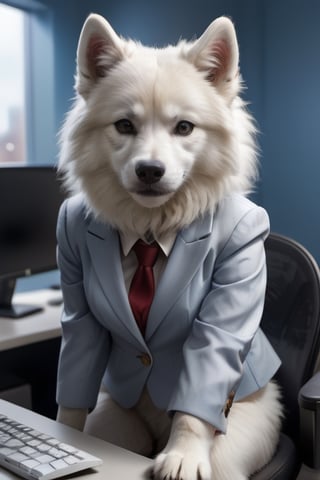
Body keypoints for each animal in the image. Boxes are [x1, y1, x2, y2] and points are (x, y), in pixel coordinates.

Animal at [57, 13, 282, 478]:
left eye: (184, 127)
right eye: (125, 125)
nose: (149, 170)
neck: (149, 229)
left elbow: (204, 374)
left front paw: (183, 454)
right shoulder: (79, 307)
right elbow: (76, 371)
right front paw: (66, 437)